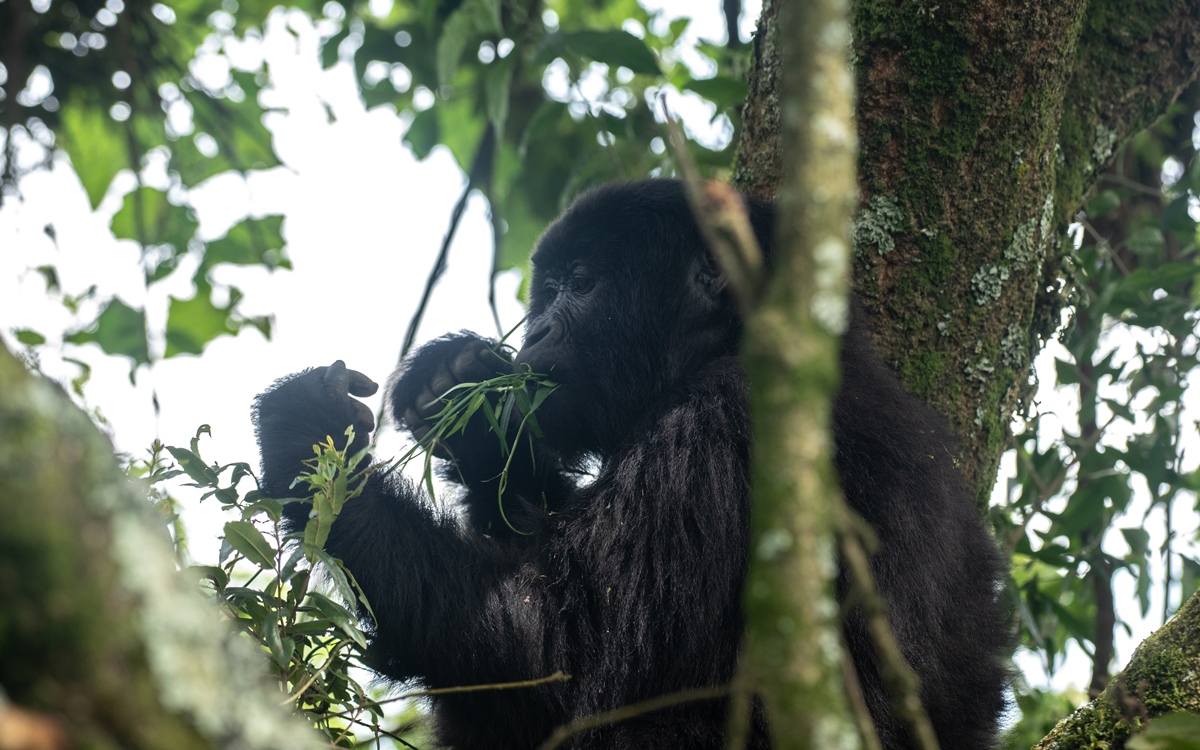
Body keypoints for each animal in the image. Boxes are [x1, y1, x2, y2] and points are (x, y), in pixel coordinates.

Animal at [255, 178, 1012, 744]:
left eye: (581, 284)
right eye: (548, 289)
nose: (538, 330)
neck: (730, 340)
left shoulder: (719, 427)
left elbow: (554, 653)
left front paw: (304, 443)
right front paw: (465, 398)